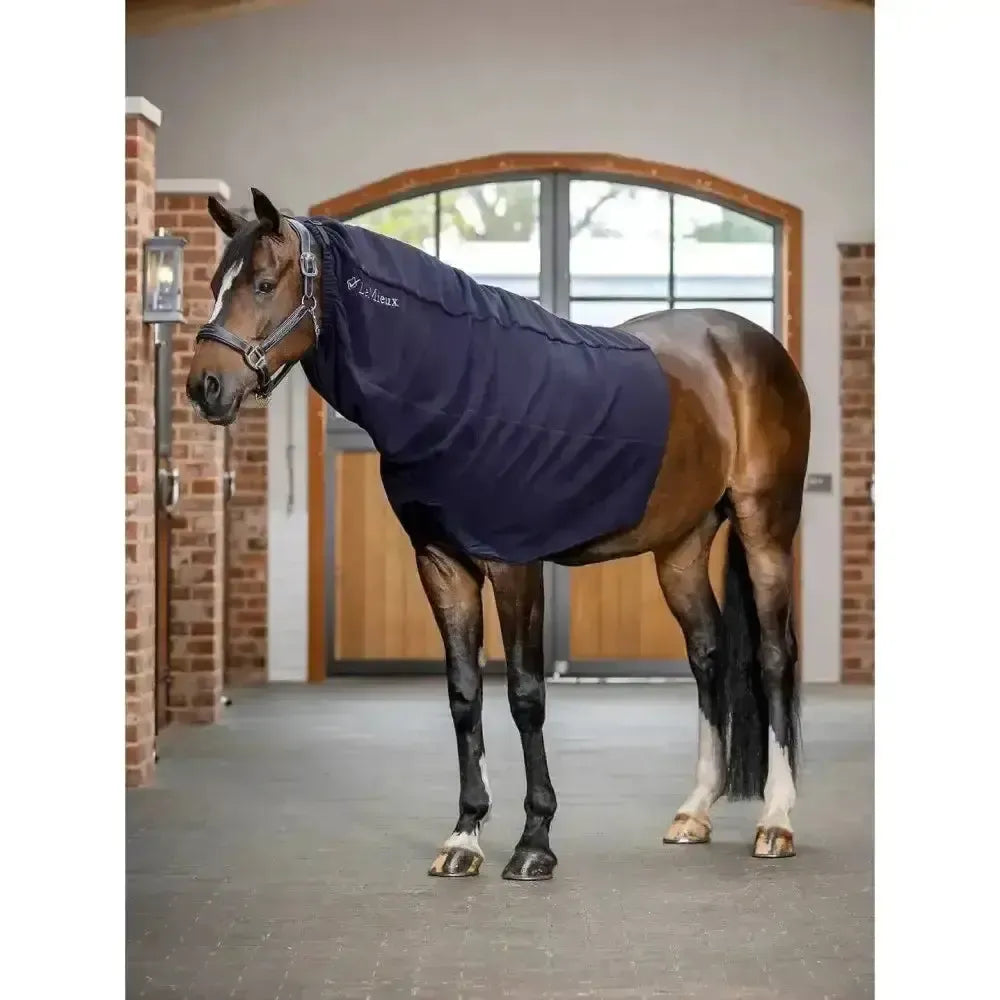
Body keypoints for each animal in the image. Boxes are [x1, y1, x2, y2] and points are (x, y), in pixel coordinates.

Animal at [187, 188, 811, 881]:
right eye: (214, 285)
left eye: (265, 284)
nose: (205, 387)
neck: (457, 385)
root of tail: (749, 344)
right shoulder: (441, 564)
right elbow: (464, 696)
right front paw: (464, 836)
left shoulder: (515, 565)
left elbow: (524, 693)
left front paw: (534, 842)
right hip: (679, 548)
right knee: (707, 653)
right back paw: (694, 812)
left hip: (766, 529)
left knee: (775, 657)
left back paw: (777, 821)